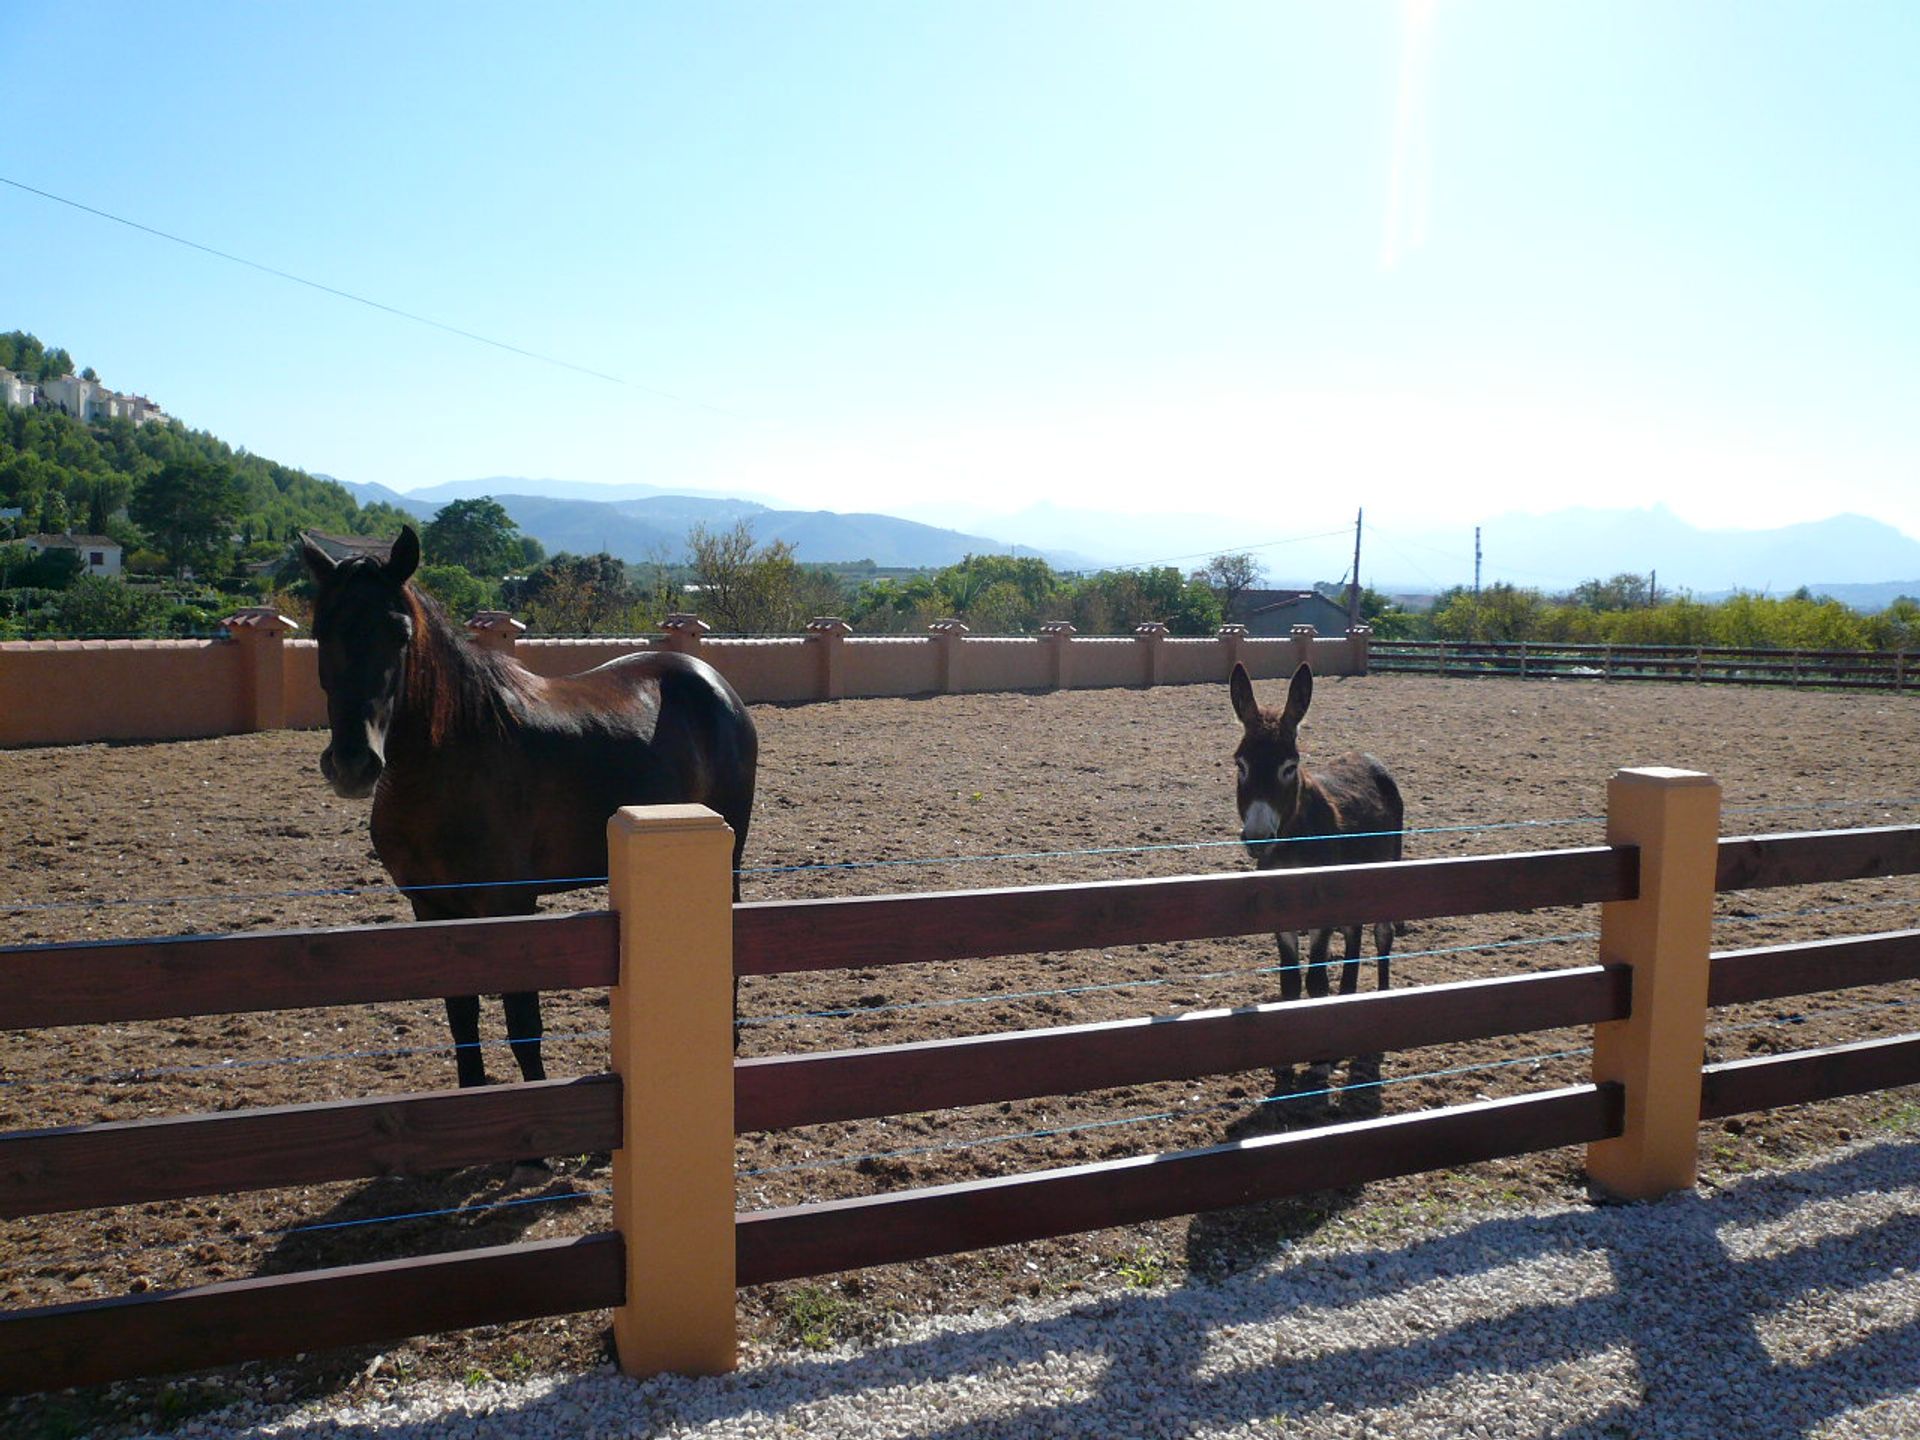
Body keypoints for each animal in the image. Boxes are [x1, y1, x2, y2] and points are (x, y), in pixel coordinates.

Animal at [301, 529, 756, 1090]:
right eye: (321, 630)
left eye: (399, 633)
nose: (352, 763)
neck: (449, 761)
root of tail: (712, 680)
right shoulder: (433, 909)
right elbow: (462, 1017)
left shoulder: (509, 905)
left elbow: (522, 1027)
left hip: (729, 858)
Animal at [1236, 664, 1405, 1006]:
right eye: (1241, 765)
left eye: (1289, 767)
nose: (1258, 836)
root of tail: (1366, 756)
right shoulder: (1282, 919)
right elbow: (1289, 985)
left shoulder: (1322, 911)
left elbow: (1316, 983)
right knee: (1354, 931)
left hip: (1387, 868)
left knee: (1383, 933)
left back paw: (1381, 991)